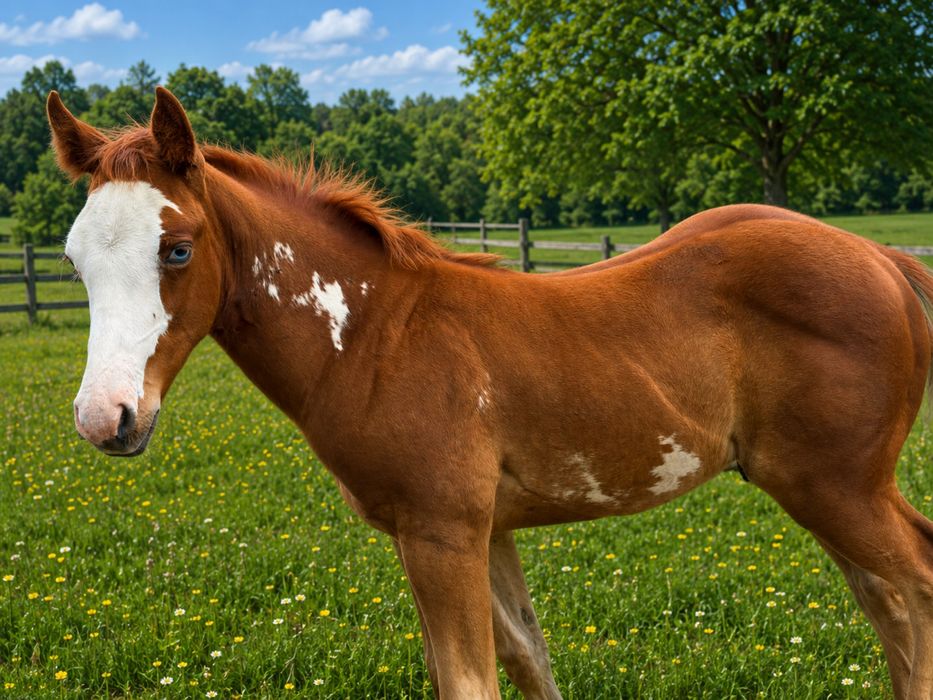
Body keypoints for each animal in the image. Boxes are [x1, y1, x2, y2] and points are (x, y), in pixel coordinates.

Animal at [47, 86, 933, 699]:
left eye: (178, 248)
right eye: (73, 258)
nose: (105, 418)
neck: (375, 335)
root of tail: (882, 259)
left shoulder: (441, 533)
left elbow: (470, 680)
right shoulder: (481, 531)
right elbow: (525, 658)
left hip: (835, 487)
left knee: (915, 588)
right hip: (819, 492)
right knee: (887, 605)